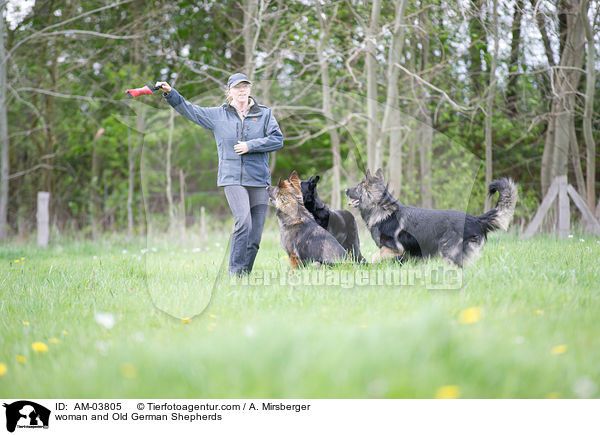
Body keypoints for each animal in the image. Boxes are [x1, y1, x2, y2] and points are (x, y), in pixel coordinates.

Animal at [344, 169, 516, 266]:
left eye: (357, 187)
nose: (345, 190)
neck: (381, 208)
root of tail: (475, 219)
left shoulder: (394, 248)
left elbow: (374, 257)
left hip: (449, 249)